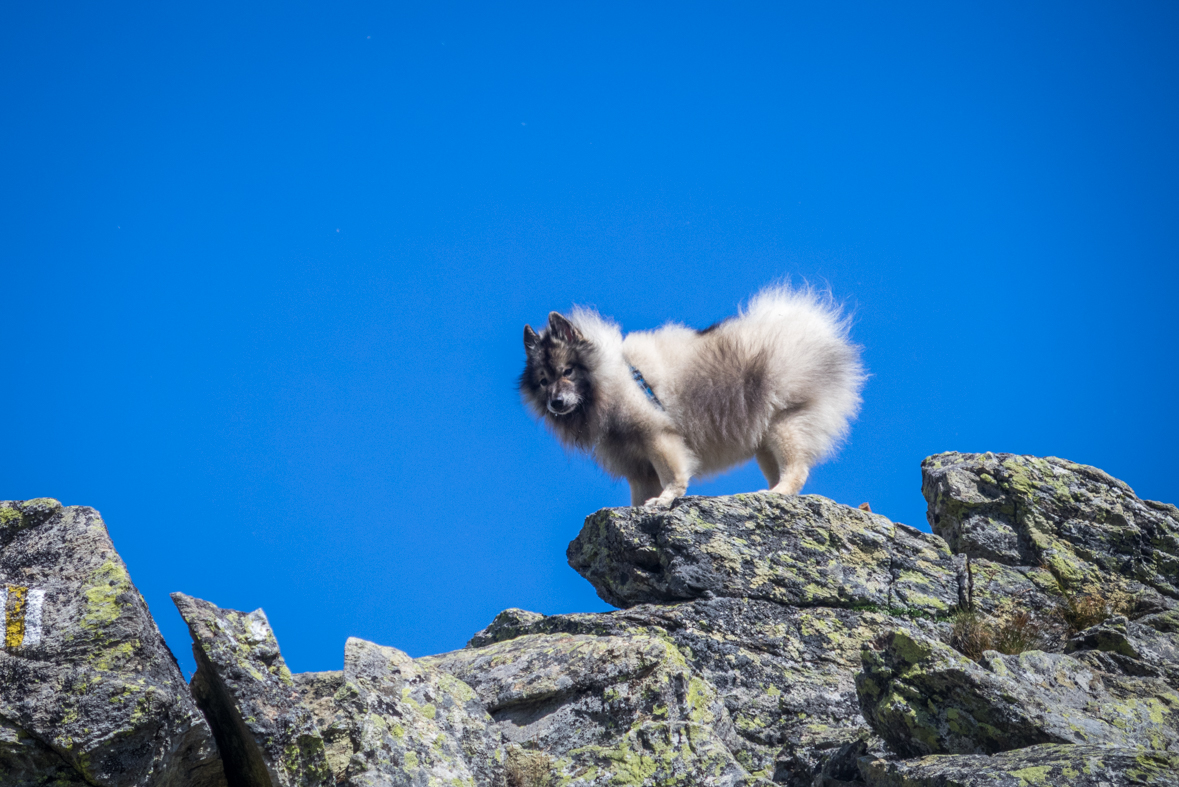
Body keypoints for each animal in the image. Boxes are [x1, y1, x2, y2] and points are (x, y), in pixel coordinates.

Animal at [521, 286, 863, 506]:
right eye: (543, 381)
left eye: (567, 372)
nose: (556, 403)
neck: (614, 378)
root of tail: (815, 330)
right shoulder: (638, 467)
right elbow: (638, 496)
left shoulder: (658, 437)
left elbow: (673, 475)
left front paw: (665, 500)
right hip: (766, 442)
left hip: (786, 425)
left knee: (797, 470)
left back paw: (777, 494)